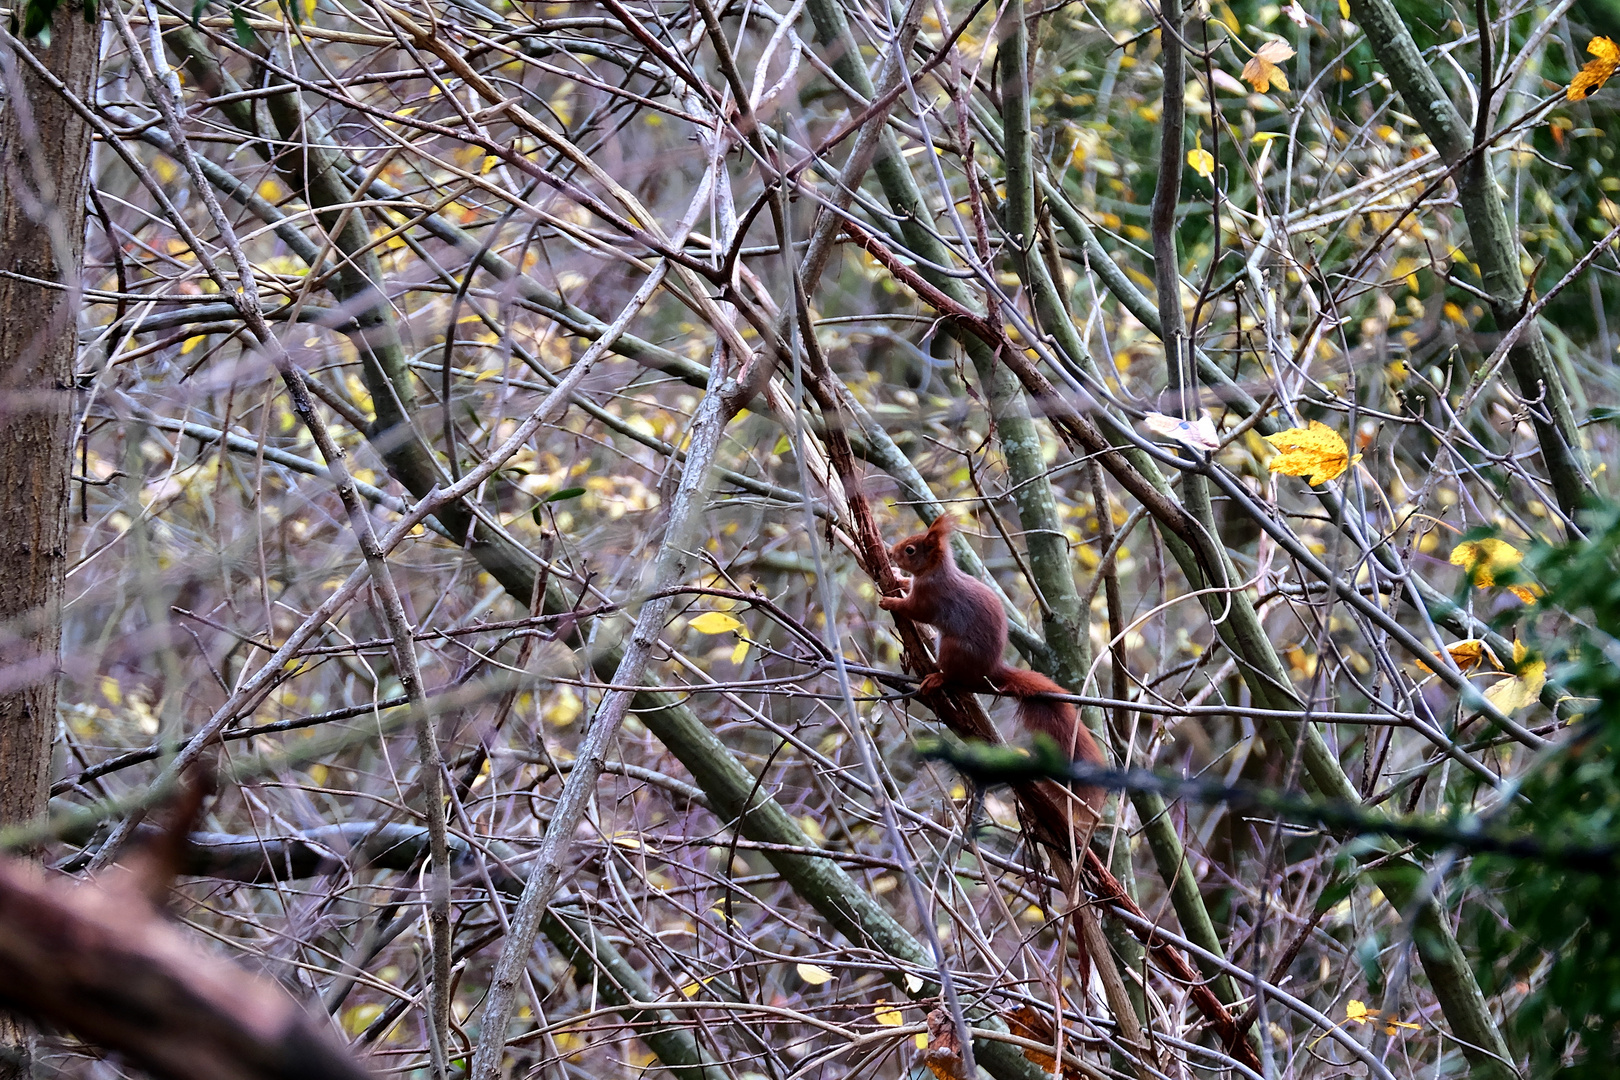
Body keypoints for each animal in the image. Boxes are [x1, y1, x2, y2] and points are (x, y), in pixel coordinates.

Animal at [881, 514, 1108, 793]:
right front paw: (897, 578)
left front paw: (891, 602)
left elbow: (915, 610)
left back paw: (937, 677)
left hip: (952, 648)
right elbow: (907, 586)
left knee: (953, 676)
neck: (934, 571)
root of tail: (990, 670)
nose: (891, 553)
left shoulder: (930, 596)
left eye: (910, 550)